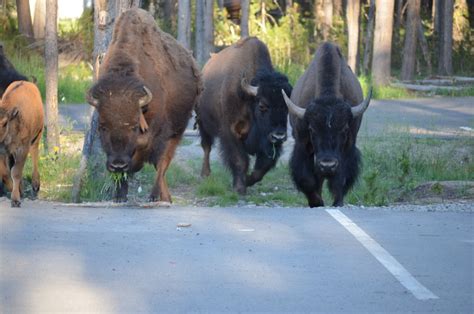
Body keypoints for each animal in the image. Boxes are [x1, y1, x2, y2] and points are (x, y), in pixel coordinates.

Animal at [87, 9, 202, 204]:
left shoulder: (158, 129)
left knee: (163, 163)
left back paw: (156, 196)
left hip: (177, 131)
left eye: (134, 126)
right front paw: (120, 195)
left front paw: (135, 167)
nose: (118, 164)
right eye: (102, 127)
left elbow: (148, 148)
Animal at [194, 36, 290, 194]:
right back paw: (205, 175)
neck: (248, 98)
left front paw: (248, 180)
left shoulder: (267, 141)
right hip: (203, 124)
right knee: (206, 147)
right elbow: (239, 160)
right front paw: (239, 188)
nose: (279, 136)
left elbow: (264, 165)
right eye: (262, 105)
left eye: (287, 107)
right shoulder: (230, 132)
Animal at [282, 42, 370, 209]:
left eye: (344, 129)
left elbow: (341, 178)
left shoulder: (348, 146)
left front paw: (337, 202)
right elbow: (307, 179)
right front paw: (317, 202)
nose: (327, 165)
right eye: (312, 129)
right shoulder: (303, 145)